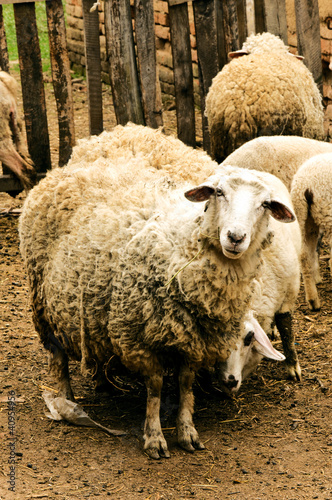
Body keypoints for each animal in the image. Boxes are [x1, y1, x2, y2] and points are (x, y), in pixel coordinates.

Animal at [19, 126, 296, 460]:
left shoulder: (194, 341)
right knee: (57, 355)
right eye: (218, 193)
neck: (182, 245)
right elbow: (154, 388)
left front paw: (187, 432)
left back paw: (104, 383)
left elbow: (186, 385)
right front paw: (154, 438)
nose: (235, 237)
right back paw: (65, 398)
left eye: (265, 204)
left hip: (95, 307)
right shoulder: (138, 337)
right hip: (42, 301)